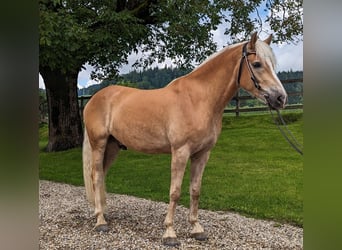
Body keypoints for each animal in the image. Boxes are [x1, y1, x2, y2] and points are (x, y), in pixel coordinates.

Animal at [81, 31, 288, 246]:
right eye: (257, 64)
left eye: (273, 64)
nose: (280, 98)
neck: (198, 99)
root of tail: (94, 98)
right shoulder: (180, 152)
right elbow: (175, 191)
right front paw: (170, 233)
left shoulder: (202, 154)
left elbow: (195, 191)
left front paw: (196, 229)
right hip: (99, 144)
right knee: (96, 176)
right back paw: (100, 221)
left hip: (113, 146)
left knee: (101, 176)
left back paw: (103, 213)